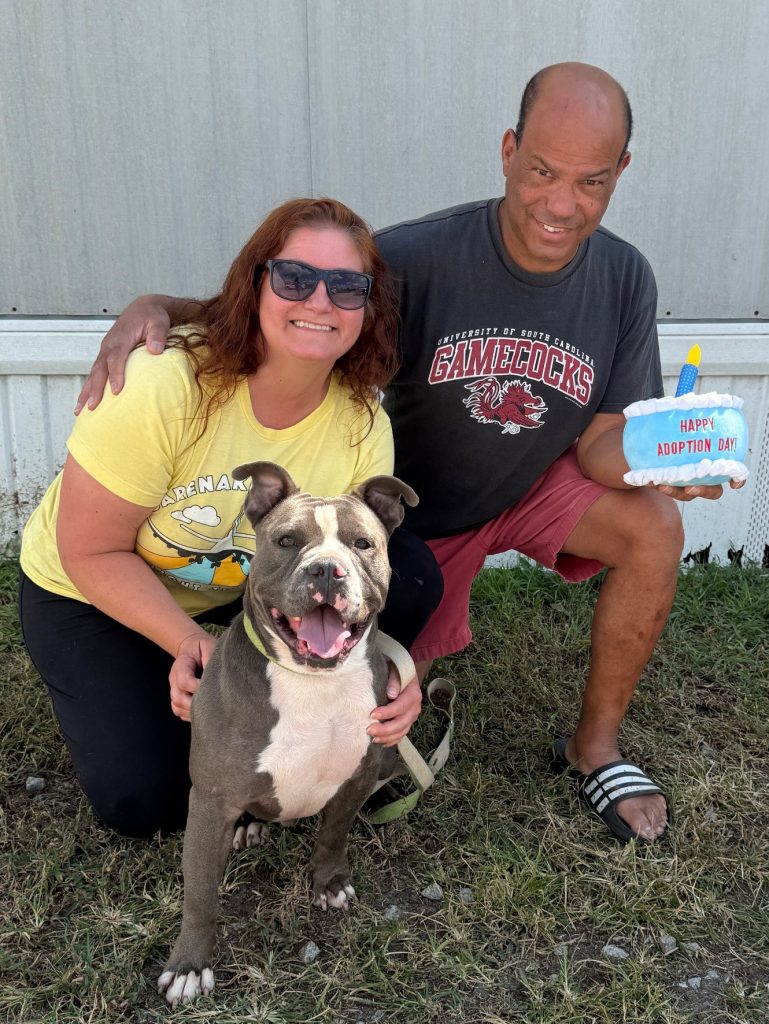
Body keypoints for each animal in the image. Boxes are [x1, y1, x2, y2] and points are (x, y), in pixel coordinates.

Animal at [158, 461, 418, 1006]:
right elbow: (200, 895)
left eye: (363, 543)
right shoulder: (209, 800)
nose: (327, 569)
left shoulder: (355, 776)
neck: (312, 680)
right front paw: (190, 966)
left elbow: (334, 835)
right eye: (287, 540)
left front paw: (329, 882)